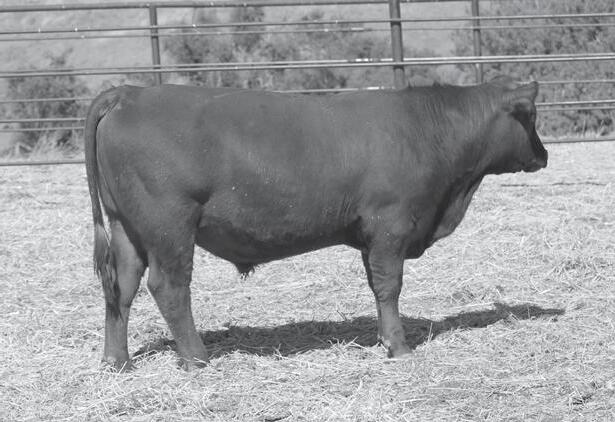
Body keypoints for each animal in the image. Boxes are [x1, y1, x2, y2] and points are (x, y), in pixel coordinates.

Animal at [84, 76, 547, 371]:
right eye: (531, 117)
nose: (543, 155)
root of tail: (128, 93)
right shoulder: (391, 225)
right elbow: (389, 286)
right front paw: (399, 347)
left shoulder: (369, 236)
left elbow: (376, 287)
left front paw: (385, 338)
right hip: (169, 226)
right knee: (170, 287)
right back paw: (197, 359)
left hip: (126, 227)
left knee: (120, 287)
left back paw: (117, 361)